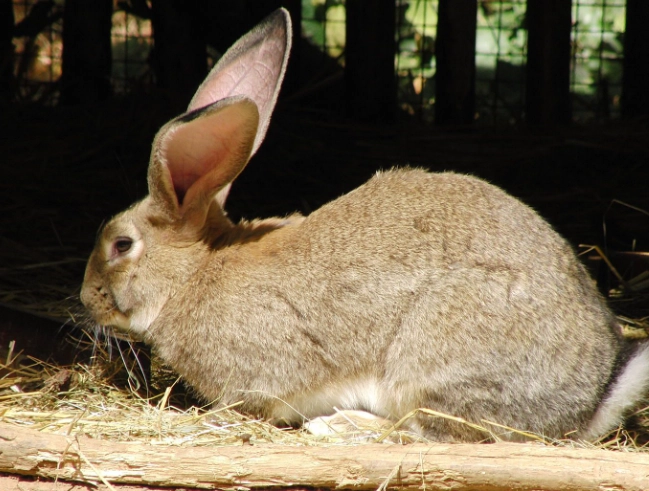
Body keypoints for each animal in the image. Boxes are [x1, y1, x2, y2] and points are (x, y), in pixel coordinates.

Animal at [80, 8, 649, 442]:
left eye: (121, 245)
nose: (87, 299)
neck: (192, 274)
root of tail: (590, 402)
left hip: (435, 357)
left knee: (437, 432)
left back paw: (340, 425)